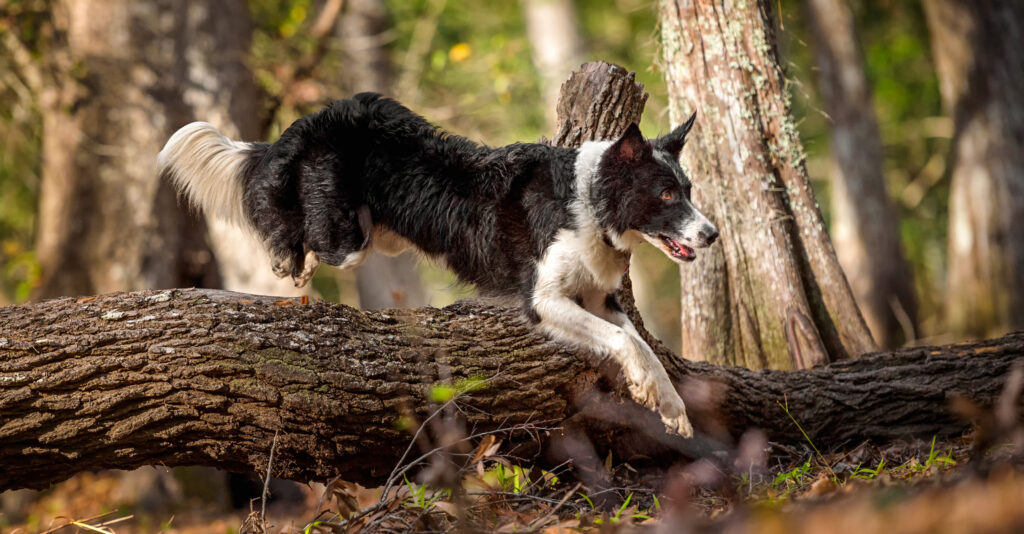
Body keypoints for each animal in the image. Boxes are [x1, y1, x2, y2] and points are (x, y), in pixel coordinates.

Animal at [159, 92, 720, 436]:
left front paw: (671, 408)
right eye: (666, 194)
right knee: (304, 234)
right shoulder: (542, 300)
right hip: (347, 235)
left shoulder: (597, 298)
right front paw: (652, 392)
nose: (712, 234)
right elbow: (627, 342)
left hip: (380, 235)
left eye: (689, 190)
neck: (588, 200)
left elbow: (639, 342)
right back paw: (291, 263)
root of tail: (307, 124)